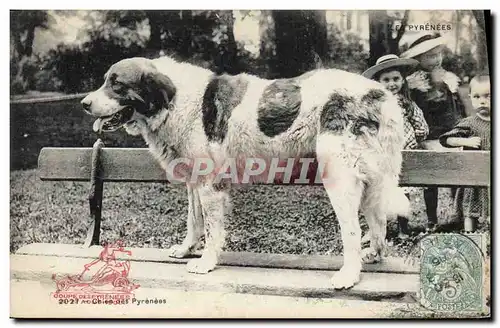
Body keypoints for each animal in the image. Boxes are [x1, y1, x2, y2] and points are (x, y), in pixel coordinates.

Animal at [82, 56, 408, 290]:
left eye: (117, 84)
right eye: (105, 81)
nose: (84, 103)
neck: (173, 102)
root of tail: (379, 93)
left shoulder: (210, 186)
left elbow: (212, 229)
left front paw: (205, 263)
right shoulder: (195, 182)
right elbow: (193, 221)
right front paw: (186, 249)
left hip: (340, 178)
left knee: (352, 231)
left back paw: (349, 275)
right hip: (371, 180)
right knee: (378, 221)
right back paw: (374, 255)